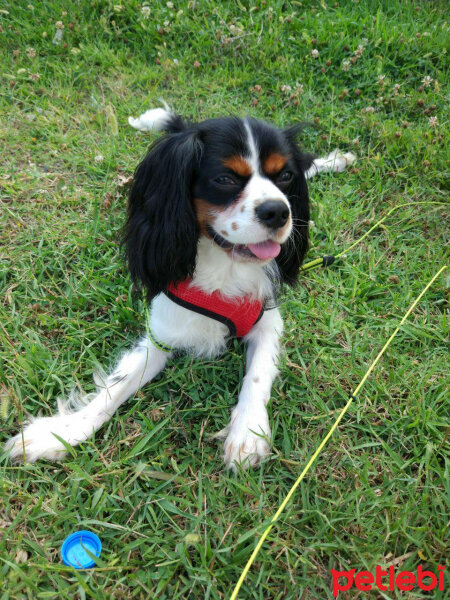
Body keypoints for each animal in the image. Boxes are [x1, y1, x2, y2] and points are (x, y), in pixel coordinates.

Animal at [4, 110, 356, 472]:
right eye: (224, 179)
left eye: (284, 176)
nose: (279, 211)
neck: (224, 264)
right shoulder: (162, 334)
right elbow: (115, 389)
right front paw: (61, 433)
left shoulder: (267, 321)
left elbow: (258, 374)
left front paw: (248, 431)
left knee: (309, 163)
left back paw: (336, 159)